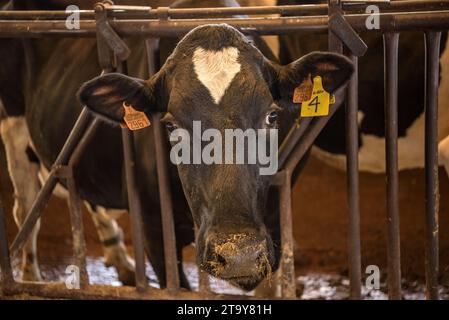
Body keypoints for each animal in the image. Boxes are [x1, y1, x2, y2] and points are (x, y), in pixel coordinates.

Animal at [0, 0, 354, 290]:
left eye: (272, 116)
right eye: (171, 125)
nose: (237, 253)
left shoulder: (275, 217)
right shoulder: (154, 229)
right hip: (13, 133)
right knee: (27, 207)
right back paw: (30, 277)